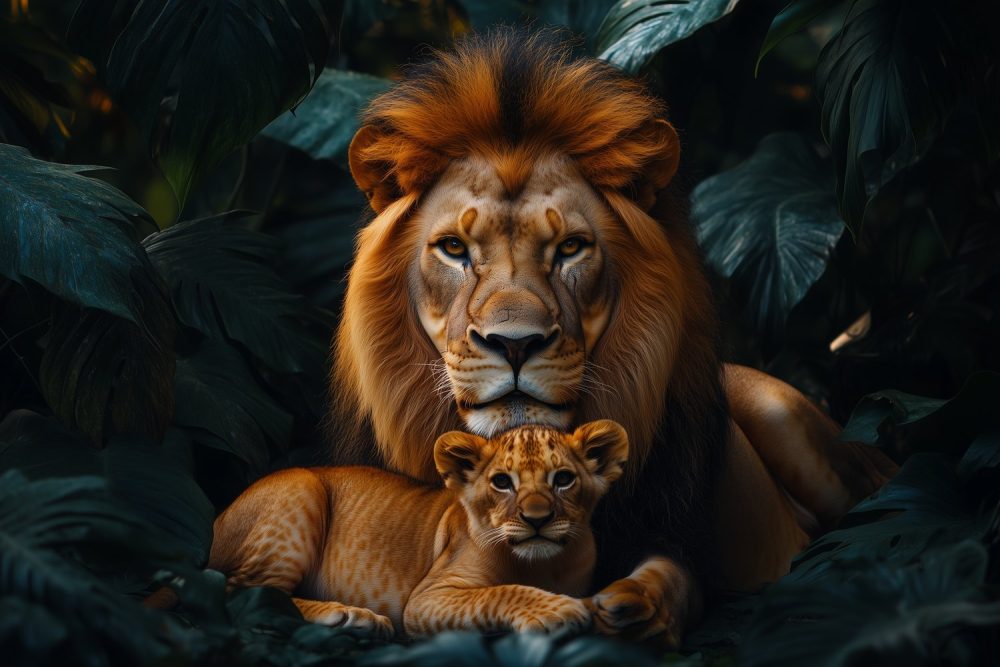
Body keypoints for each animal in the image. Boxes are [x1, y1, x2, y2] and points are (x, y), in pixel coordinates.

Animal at [208, 421, 629, 638]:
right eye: (502, 482)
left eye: (563, 479)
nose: (536, 518)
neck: (544, 565)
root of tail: (218, 516)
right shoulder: (428, 597)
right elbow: (500, 592)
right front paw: (559, 609)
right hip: (302, 489)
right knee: (244, 594)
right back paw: (349, 616)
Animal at [330, 29, 896, 644]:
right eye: (454, 248)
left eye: (571, 248)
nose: (515, 344)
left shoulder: (676, 533)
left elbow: (674, 577)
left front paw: (634, 605)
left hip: (790, 423)